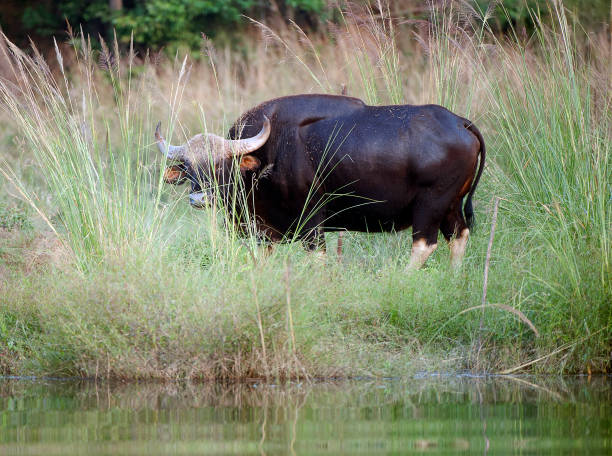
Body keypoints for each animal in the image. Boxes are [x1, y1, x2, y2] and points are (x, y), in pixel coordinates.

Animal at [155, 94, 486, 268]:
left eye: (223, 165)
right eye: (187, 167)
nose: (199, 199)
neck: (272, 151)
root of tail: (460, 123)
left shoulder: (312, 222)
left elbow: (318, 260)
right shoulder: (261, 230)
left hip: (431, 204)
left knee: (424, 244)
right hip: (451, 205)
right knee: (459, 235)